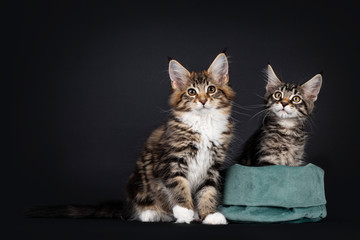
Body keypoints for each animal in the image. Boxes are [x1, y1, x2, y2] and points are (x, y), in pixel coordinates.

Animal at [127, 53, 236, 224]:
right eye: (191, 92)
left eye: (211, 89)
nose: (203, 100)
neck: (204, 123)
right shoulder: (171, 161)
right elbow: (179, 185)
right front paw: (184, 211)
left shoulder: (212, 165)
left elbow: (208, 191)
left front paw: (209, 215)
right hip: (137, 183)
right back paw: (150, 213)